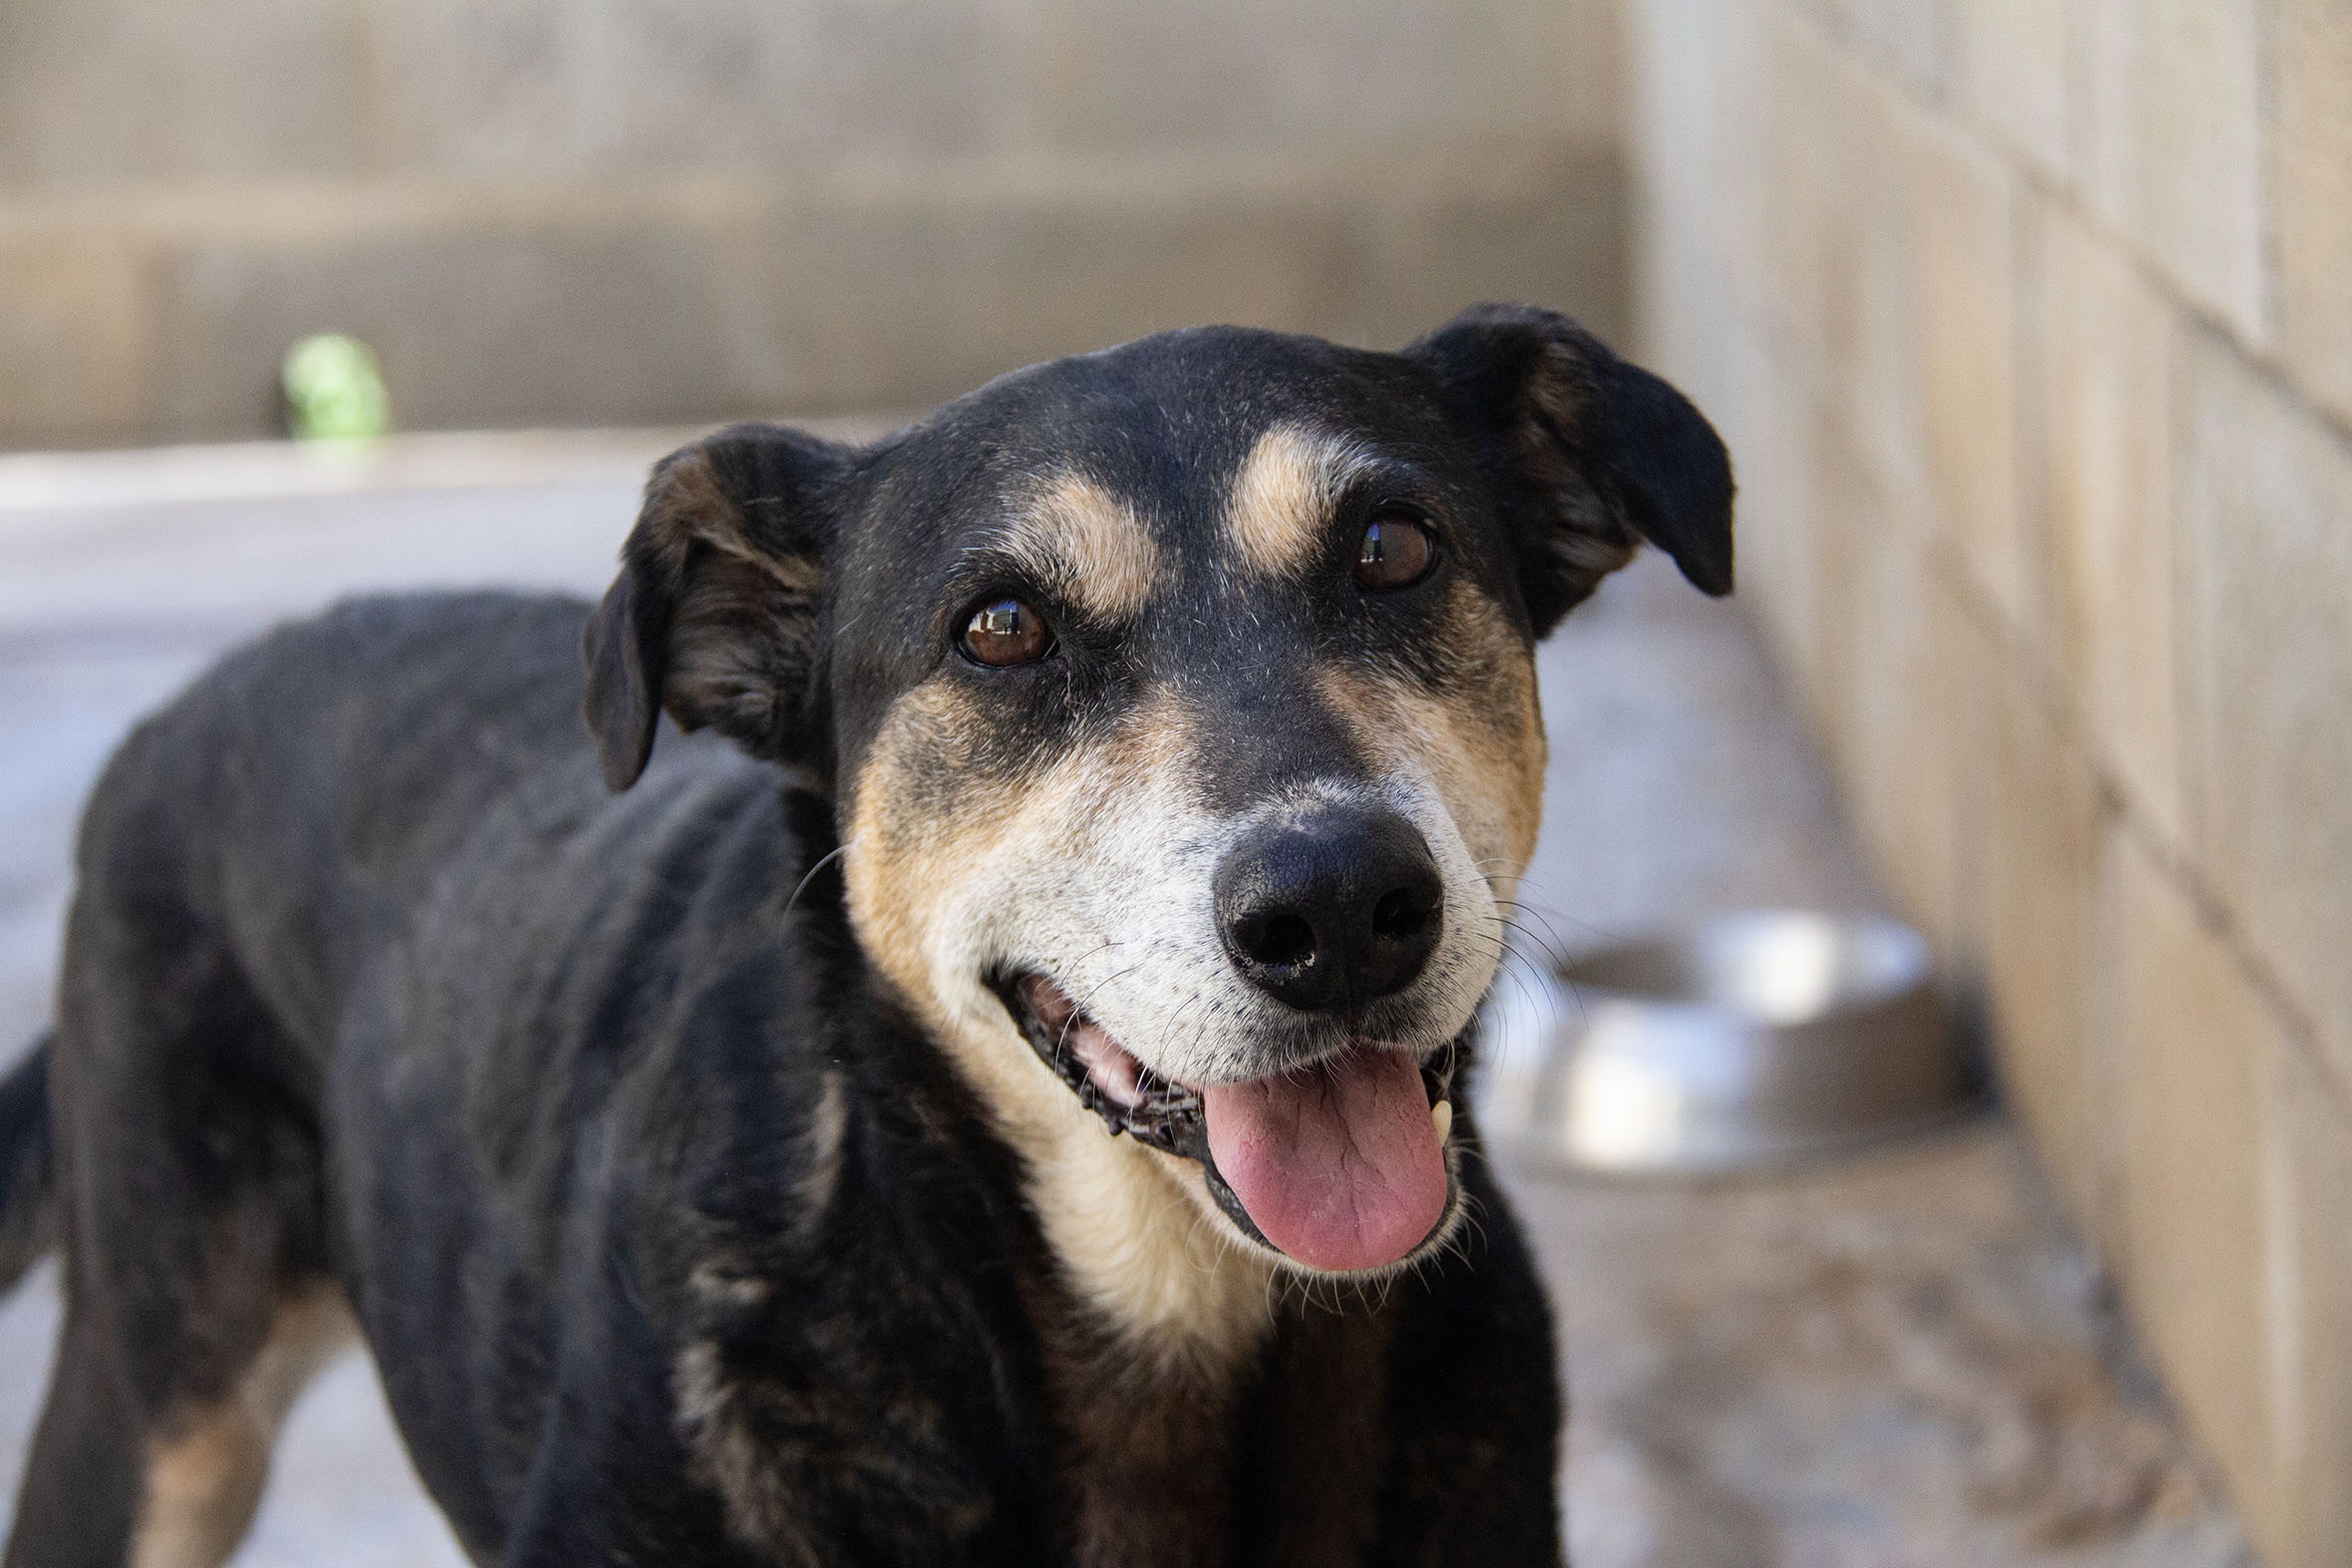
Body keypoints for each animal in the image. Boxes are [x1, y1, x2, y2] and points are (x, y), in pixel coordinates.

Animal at [0, 303, 1730, 1567]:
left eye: (1391, 548)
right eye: (1001, 629)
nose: (1338, 908)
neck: (1169, 1318)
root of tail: (187, 703)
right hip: (151, 1418)